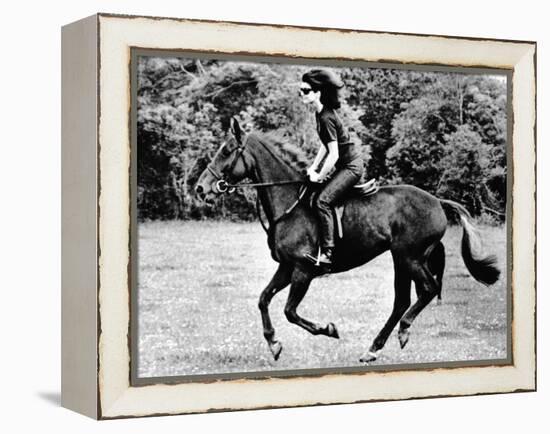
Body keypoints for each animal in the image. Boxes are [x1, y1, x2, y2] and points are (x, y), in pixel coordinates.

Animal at [194, 118, 500, 362]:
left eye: (226, 150)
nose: (200, 188)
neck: (289, 204)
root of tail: (437, 201)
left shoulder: (303, 270)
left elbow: (290, 311)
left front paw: (328, 330)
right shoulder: (286, 267)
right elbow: (263, 299)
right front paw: (273, 343)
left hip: (409, 257)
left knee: (427, 288)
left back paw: (402, 330)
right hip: (401, 259)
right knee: (402, 300)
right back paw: (374, 348)